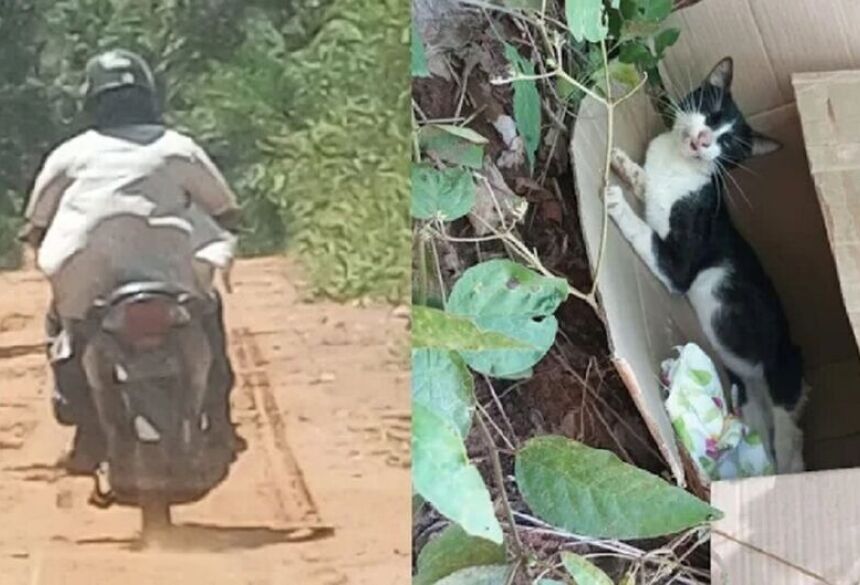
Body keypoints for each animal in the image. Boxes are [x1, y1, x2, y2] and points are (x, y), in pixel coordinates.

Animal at [604, 56, 808, 474]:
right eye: (712, 114)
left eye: (728, 144)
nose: (703, 140)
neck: (679, 165)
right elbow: (649, 187)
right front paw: (626, 165)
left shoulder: (681, 261)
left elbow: (651, 239)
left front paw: (616, 200)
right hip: (750, 398)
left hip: (783, 378)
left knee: (790, 439)